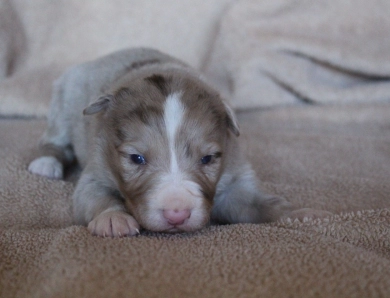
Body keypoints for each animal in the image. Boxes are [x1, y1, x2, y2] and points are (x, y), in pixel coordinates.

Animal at [29, 47, 290, 236]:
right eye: (136, 158)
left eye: (207, 159)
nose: (177, 214)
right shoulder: (98, 165)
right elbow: (93, 195)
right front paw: (113, 218)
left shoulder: (235, 172)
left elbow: (254, 202)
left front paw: (293, 210)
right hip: (64, 101)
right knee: (54, 139)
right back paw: (45, 163)